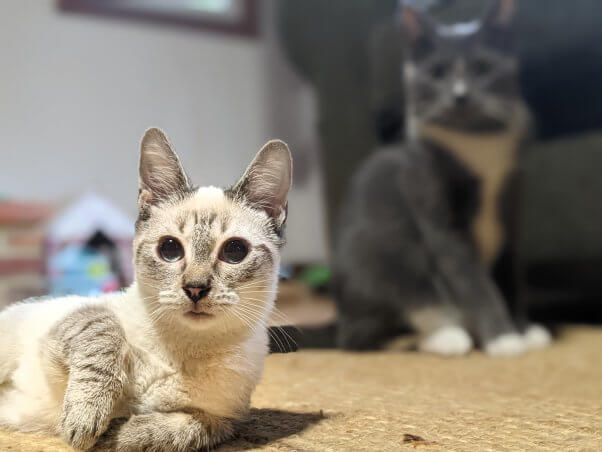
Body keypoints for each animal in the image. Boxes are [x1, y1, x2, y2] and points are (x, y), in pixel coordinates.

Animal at [0, 129, 290, 450]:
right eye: (170, 249)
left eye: (235, 251)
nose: (195, 288)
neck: (183, 349)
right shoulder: (71, 325)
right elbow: (103, 332)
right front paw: (85, 419)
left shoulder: (220, 421)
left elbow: (170, 432)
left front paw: (114, 433)